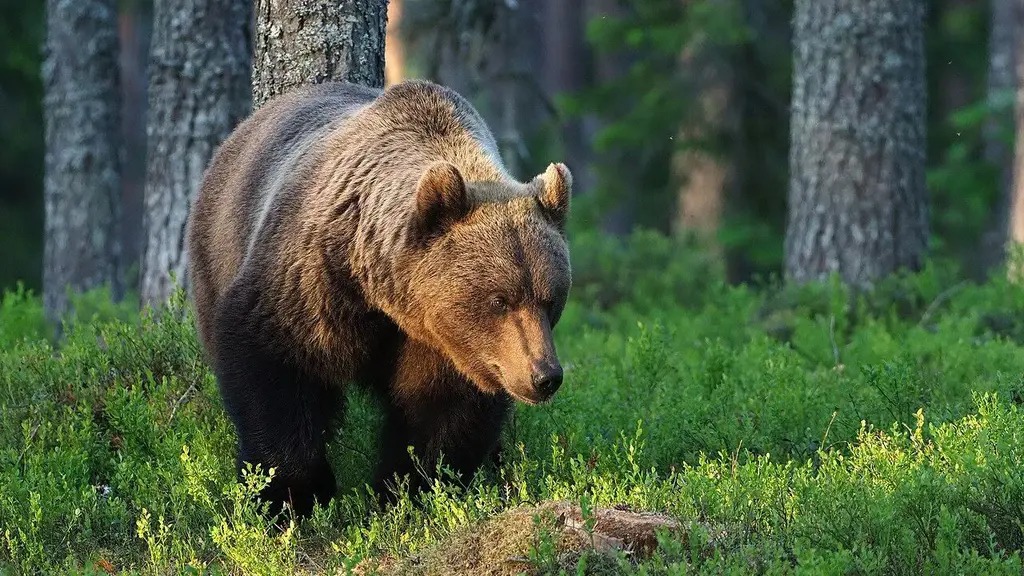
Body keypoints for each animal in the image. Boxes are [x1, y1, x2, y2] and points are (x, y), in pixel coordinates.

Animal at [185, 79, 572, 517]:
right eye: (499, 299)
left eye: (551, 299)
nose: (544, 376)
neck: (382, 294)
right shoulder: (309, 282)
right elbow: (272, 367)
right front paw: (291, 493)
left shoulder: (446, 343)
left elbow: (439, 412)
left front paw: (407, 490)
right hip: (217, 252)